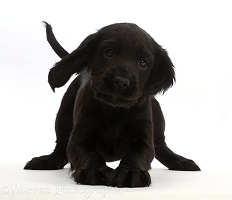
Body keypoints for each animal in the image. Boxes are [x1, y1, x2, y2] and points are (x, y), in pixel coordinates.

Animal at [24, 22, 199, 188]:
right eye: (109, 52)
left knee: (161, 147)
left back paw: (181, 161)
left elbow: (137, 156)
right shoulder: (79, 140)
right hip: (63, 115)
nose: (121, 81)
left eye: (143, 63)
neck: (114, 111)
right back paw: (46, 160)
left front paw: (131, 173)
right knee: (60, 147)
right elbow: (89, 155)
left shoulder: (143, 140)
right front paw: (95, 171)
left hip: (157, 116)